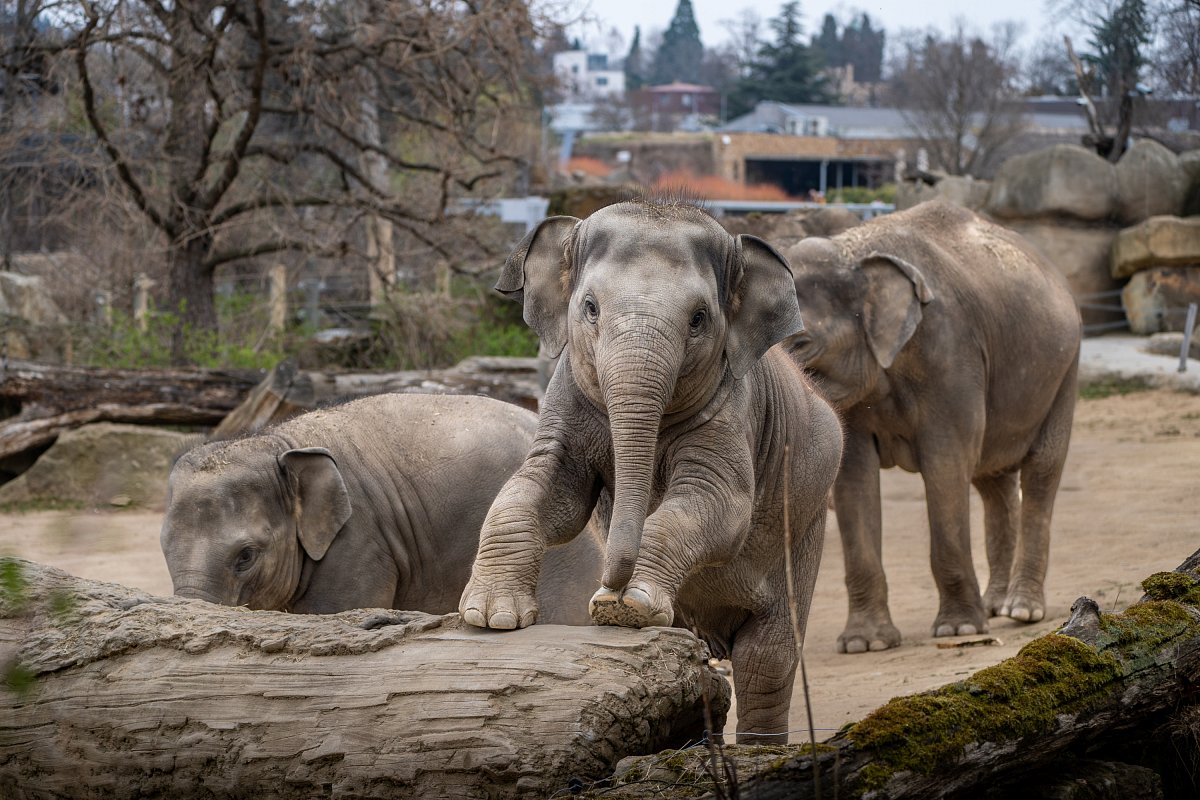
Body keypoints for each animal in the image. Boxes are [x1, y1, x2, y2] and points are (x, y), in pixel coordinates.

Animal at [458, 200, 844, 743]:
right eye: (590, 308)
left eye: (699, 319)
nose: (607, 592)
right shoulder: (565, 396)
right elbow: (551, 490)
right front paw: (489, 616)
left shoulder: (735, 406)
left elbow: (720, 504)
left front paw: (632, 606)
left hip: (805, 524)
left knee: (766, 659)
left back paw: (758, 747)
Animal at [782, 199, 1084, 652]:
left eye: (802, 344)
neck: (854, 249)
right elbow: (854, 477)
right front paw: (865, 644)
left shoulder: (950, 352)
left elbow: (945, 463)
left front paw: (959, 631)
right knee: (992, 480)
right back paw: (995, 606)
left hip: (1064, 371)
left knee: (1040, 471)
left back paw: (1021, 611)